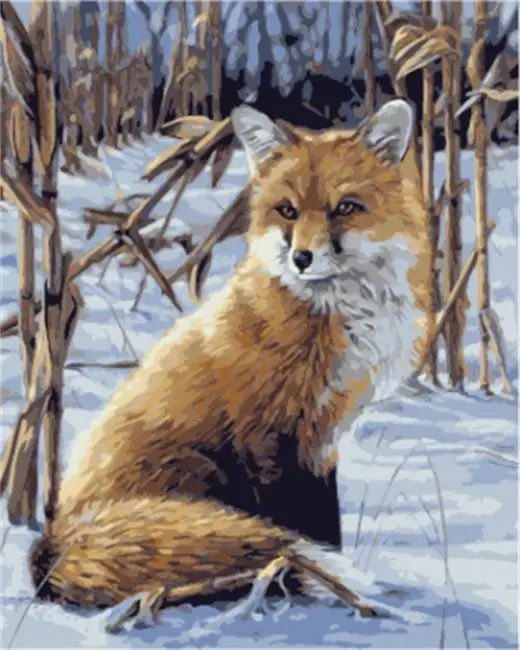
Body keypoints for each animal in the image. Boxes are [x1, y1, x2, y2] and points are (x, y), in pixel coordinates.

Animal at [29, 99, 432, 610]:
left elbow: (328, 526)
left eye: (345, 207)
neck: (336, 315)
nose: (302, 258)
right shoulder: (268, 435)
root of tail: (54, 541)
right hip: (201, 474)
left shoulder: (322, 441)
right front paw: (318, 583)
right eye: (287, 211)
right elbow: (298, 525)